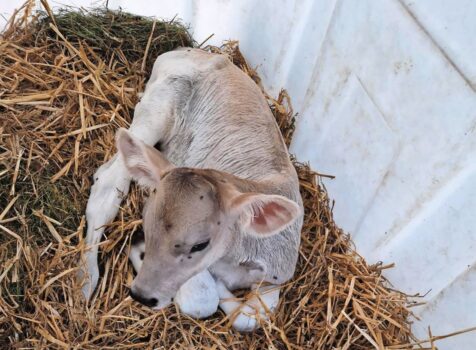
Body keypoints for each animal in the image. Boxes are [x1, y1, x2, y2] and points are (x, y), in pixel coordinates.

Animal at [77, 47, 302, 330]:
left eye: (200, 245)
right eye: (146, 225)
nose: (142, 295)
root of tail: (189, 51)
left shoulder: (277, 275)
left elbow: (251, 318)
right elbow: (202, 300)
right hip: (159, 106)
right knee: (108, 183)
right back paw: (85, 280)